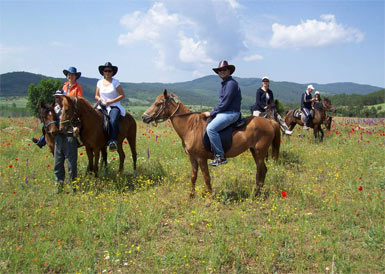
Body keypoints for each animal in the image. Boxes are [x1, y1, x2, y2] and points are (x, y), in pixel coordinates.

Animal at [141, 91, 280, 198]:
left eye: (158, 103)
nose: (143, 117)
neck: (191, 127)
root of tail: (270, 122)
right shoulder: (192, 158)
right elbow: (193, 176)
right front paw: (191, 196)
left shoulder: (201, 158)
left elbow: (206, 177)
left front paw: (210, 197)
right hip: (255, 151)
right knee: (262, 170)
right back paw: (257, 193)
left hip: (260, 152)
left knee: (261, 170)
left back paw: (257, 194)